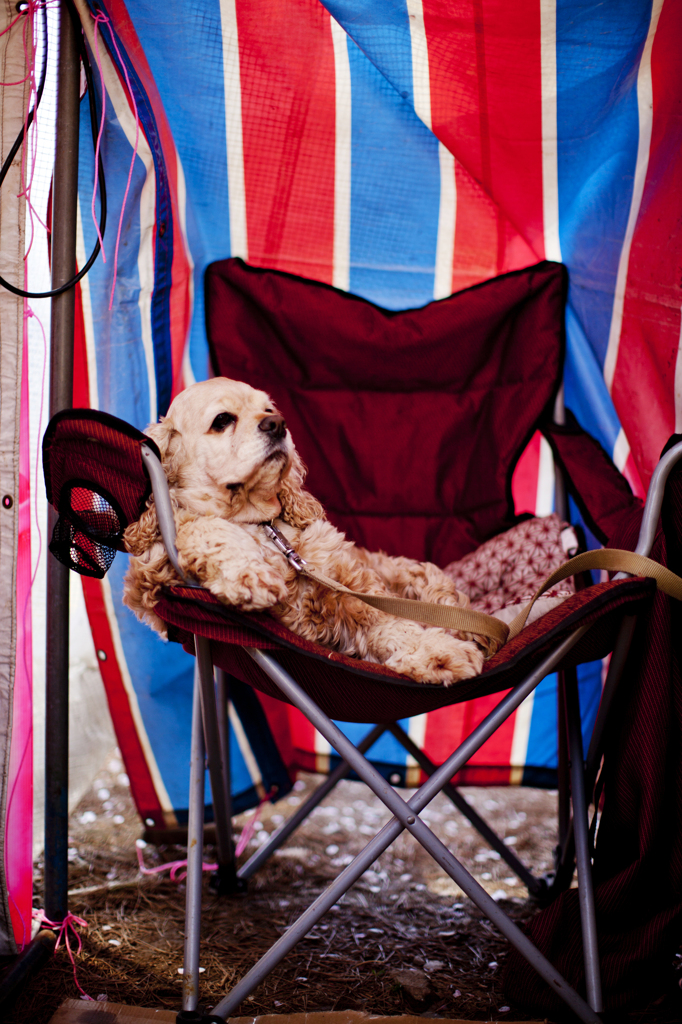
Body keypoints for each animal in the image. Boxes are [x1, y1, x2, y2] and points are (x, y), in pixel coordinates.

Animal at [122, 374, 483, 679]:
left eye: (268, 409)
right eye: (222, 420)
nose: (277, 424)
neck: (263, 524)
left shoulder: (347, 582)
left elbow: (386, 618)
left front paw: (436, 651)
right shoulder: (151, 576)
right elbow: (202, 527)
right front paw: (250, 575)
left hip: (417, 578)